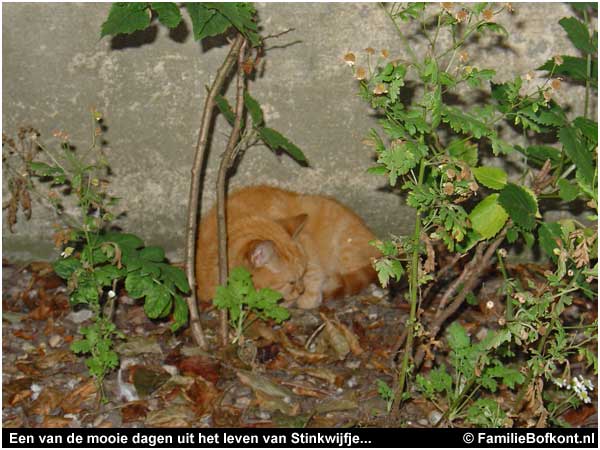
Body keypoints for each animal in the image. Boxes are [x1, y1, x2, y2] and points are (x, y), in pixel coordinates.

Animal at [197, 185, 380, 310]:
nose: (301, 290)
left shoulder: (307, 243)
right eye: (291, 282)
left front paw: (308, 297)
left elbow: (315, 273)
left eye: (302, 274)